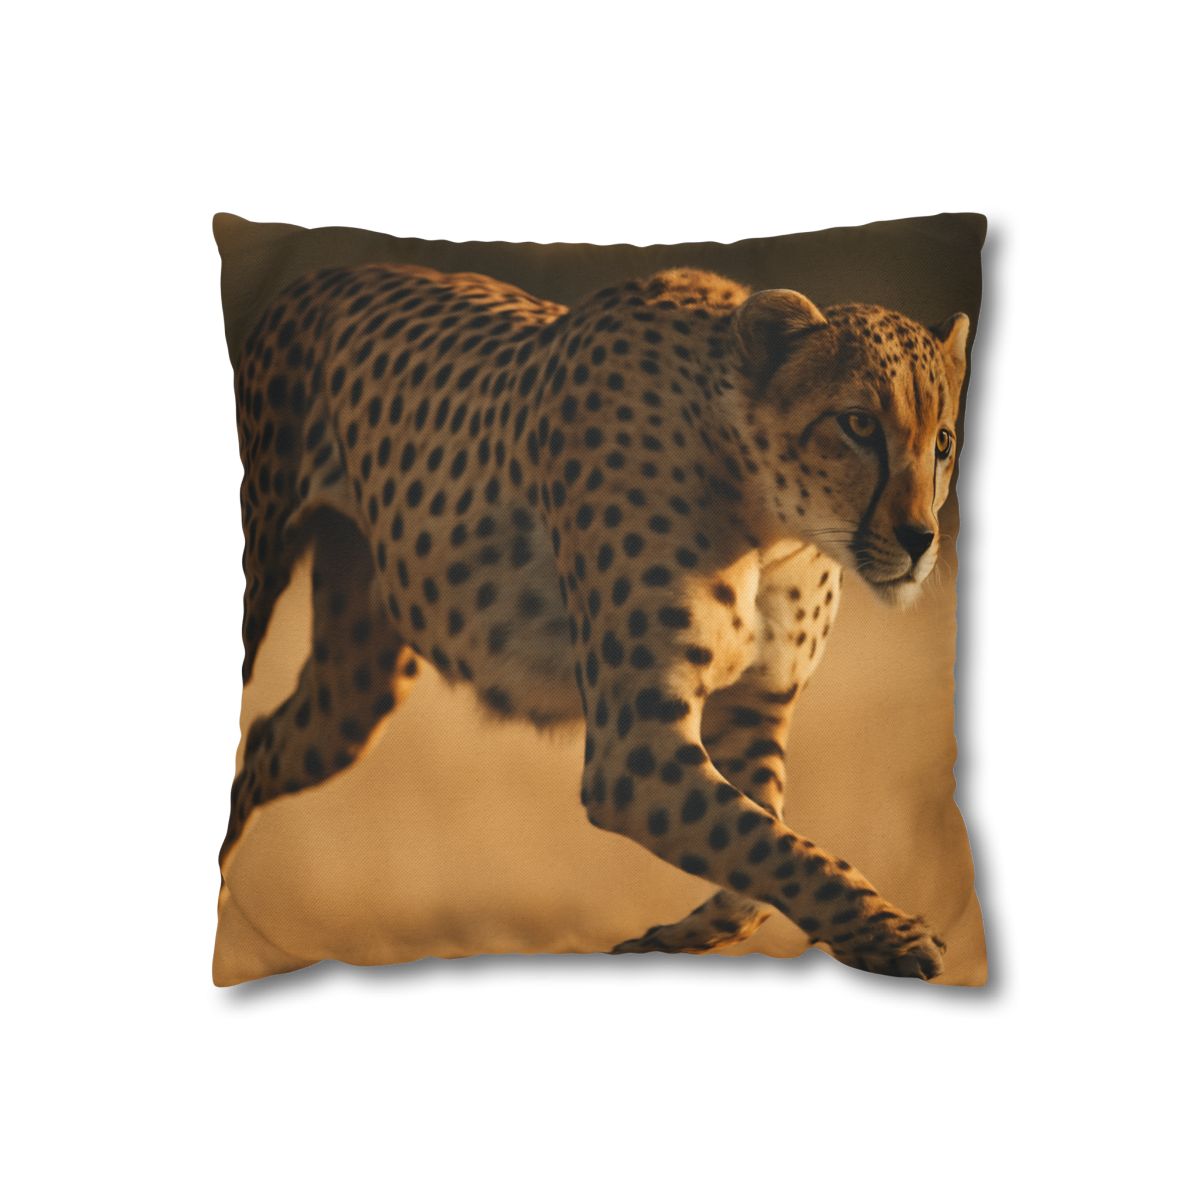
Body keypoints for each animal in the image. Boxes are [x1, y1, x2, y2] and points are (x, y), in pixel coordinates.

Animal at [224, 260, 969, 980]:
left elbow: (763, 856)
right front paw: (892, 933)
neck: (770, 522)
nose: (920, 540)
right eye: (859, 425)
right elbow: (768, 844)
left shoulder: (754, 712)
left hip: (354, 691)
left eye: (943, 444)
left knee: (263, 741)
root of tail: (319, 275)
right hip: (262, 579)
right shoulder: (633, 752)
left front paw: (667, 941)